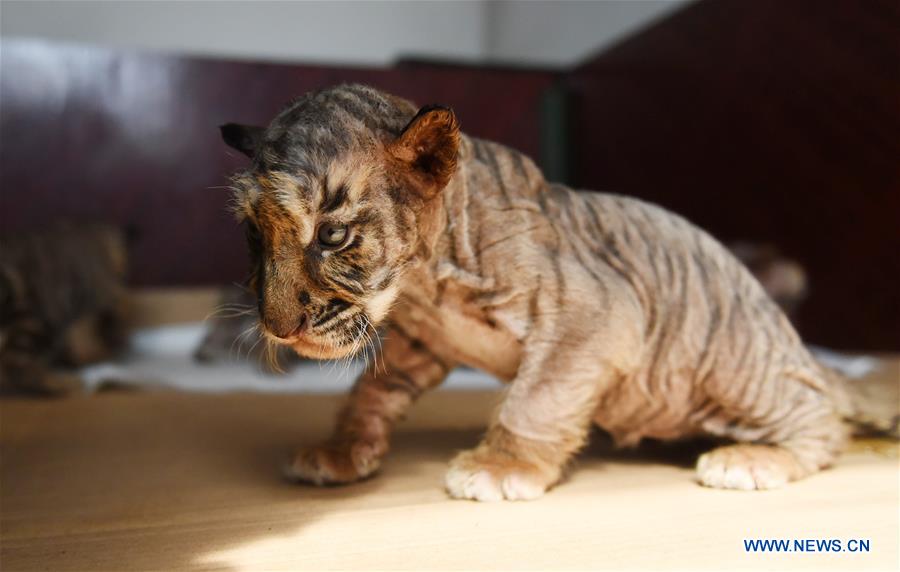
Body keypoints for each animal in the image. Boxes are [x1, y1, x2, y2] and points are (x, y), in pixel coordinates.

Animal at [220, 84, 897, 501]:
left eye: (332, 235)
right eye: (253, 233)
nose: (276, 327)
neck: (425, 286)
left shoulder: (590, 318)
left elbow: (535, 400)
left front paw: (501, 467)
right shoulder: (420, 345)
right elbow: (369, 395)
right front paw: (339, 452)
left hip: (737, 371)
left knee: (821, 417)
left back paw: (750, 458)